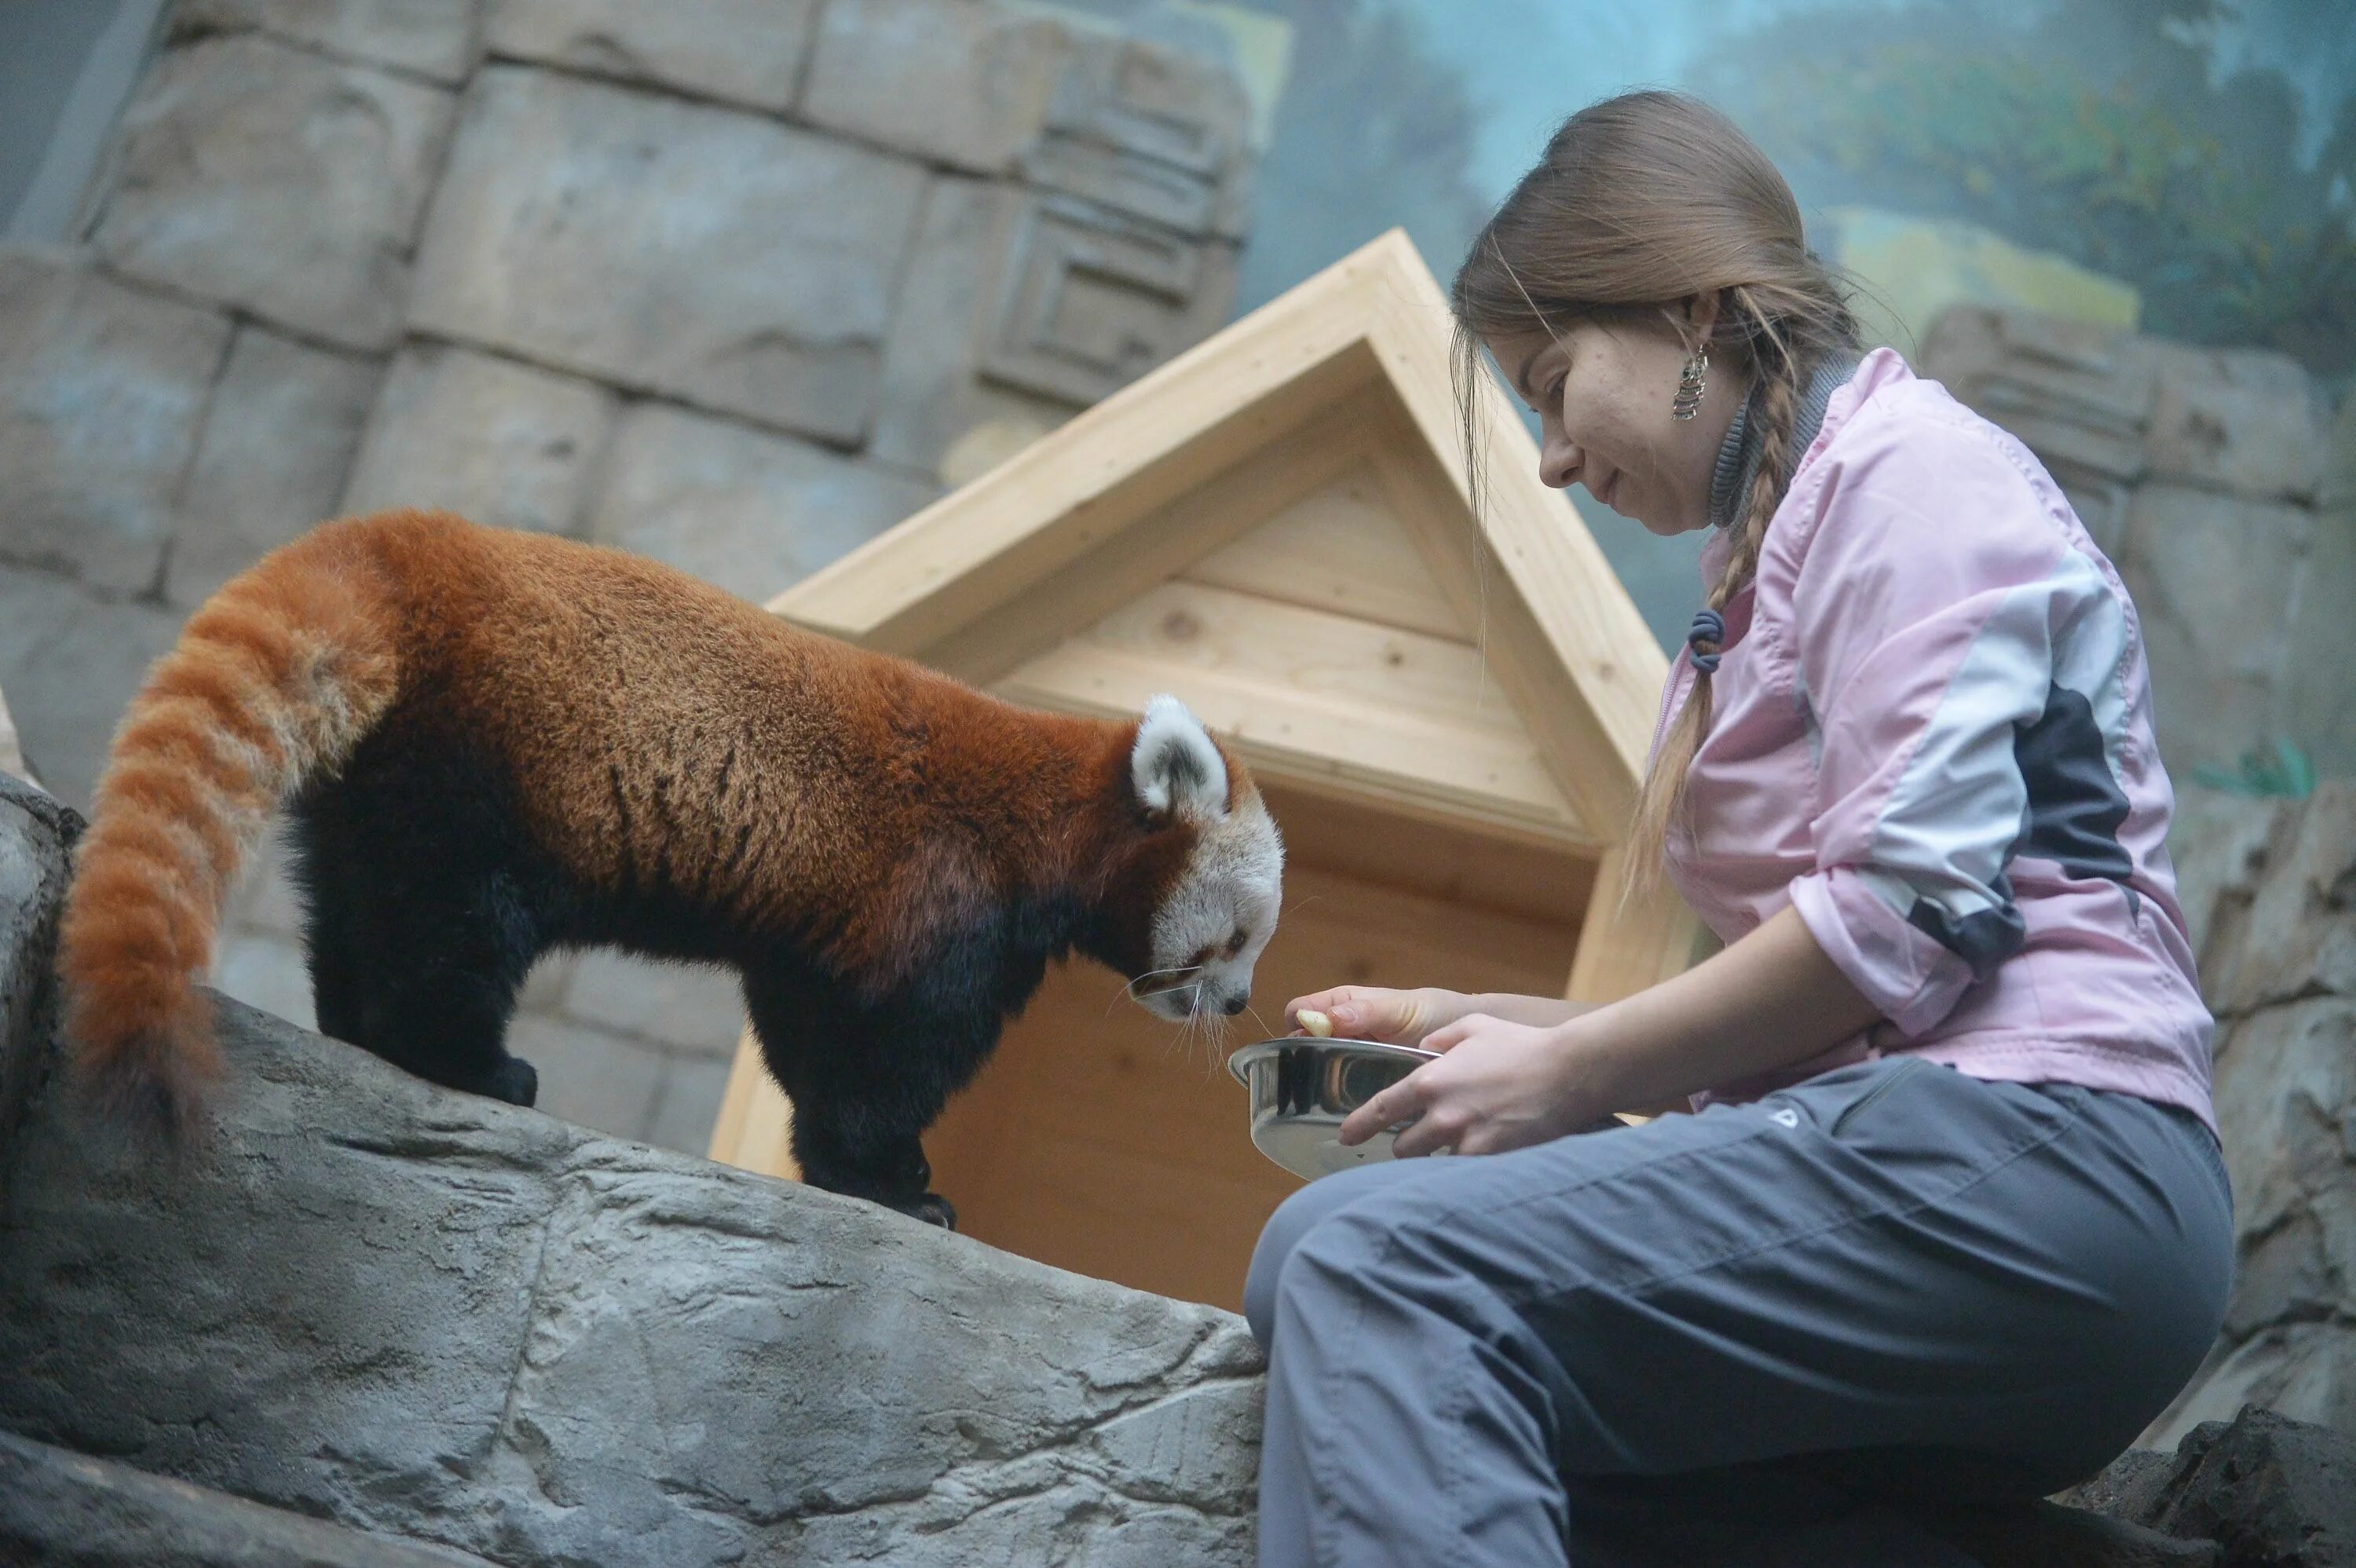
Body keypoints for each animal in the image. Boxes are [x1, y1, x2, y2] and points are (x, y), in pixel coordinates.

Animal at [50, 513, 1291, 1224]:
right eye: (1235, 939)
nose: (1235, 1003)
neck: (1053, 811)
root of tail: (400, 543)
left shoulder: (830, 922)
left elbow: (808, 1025)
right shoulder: (940, 897)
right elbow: (878, 1054)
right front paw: (894, 1183)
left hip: (382, 766)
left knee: (359, 893)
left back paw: (359, 1025)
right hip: (490, 768)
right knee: (450, 923)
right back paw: (464, 1059)